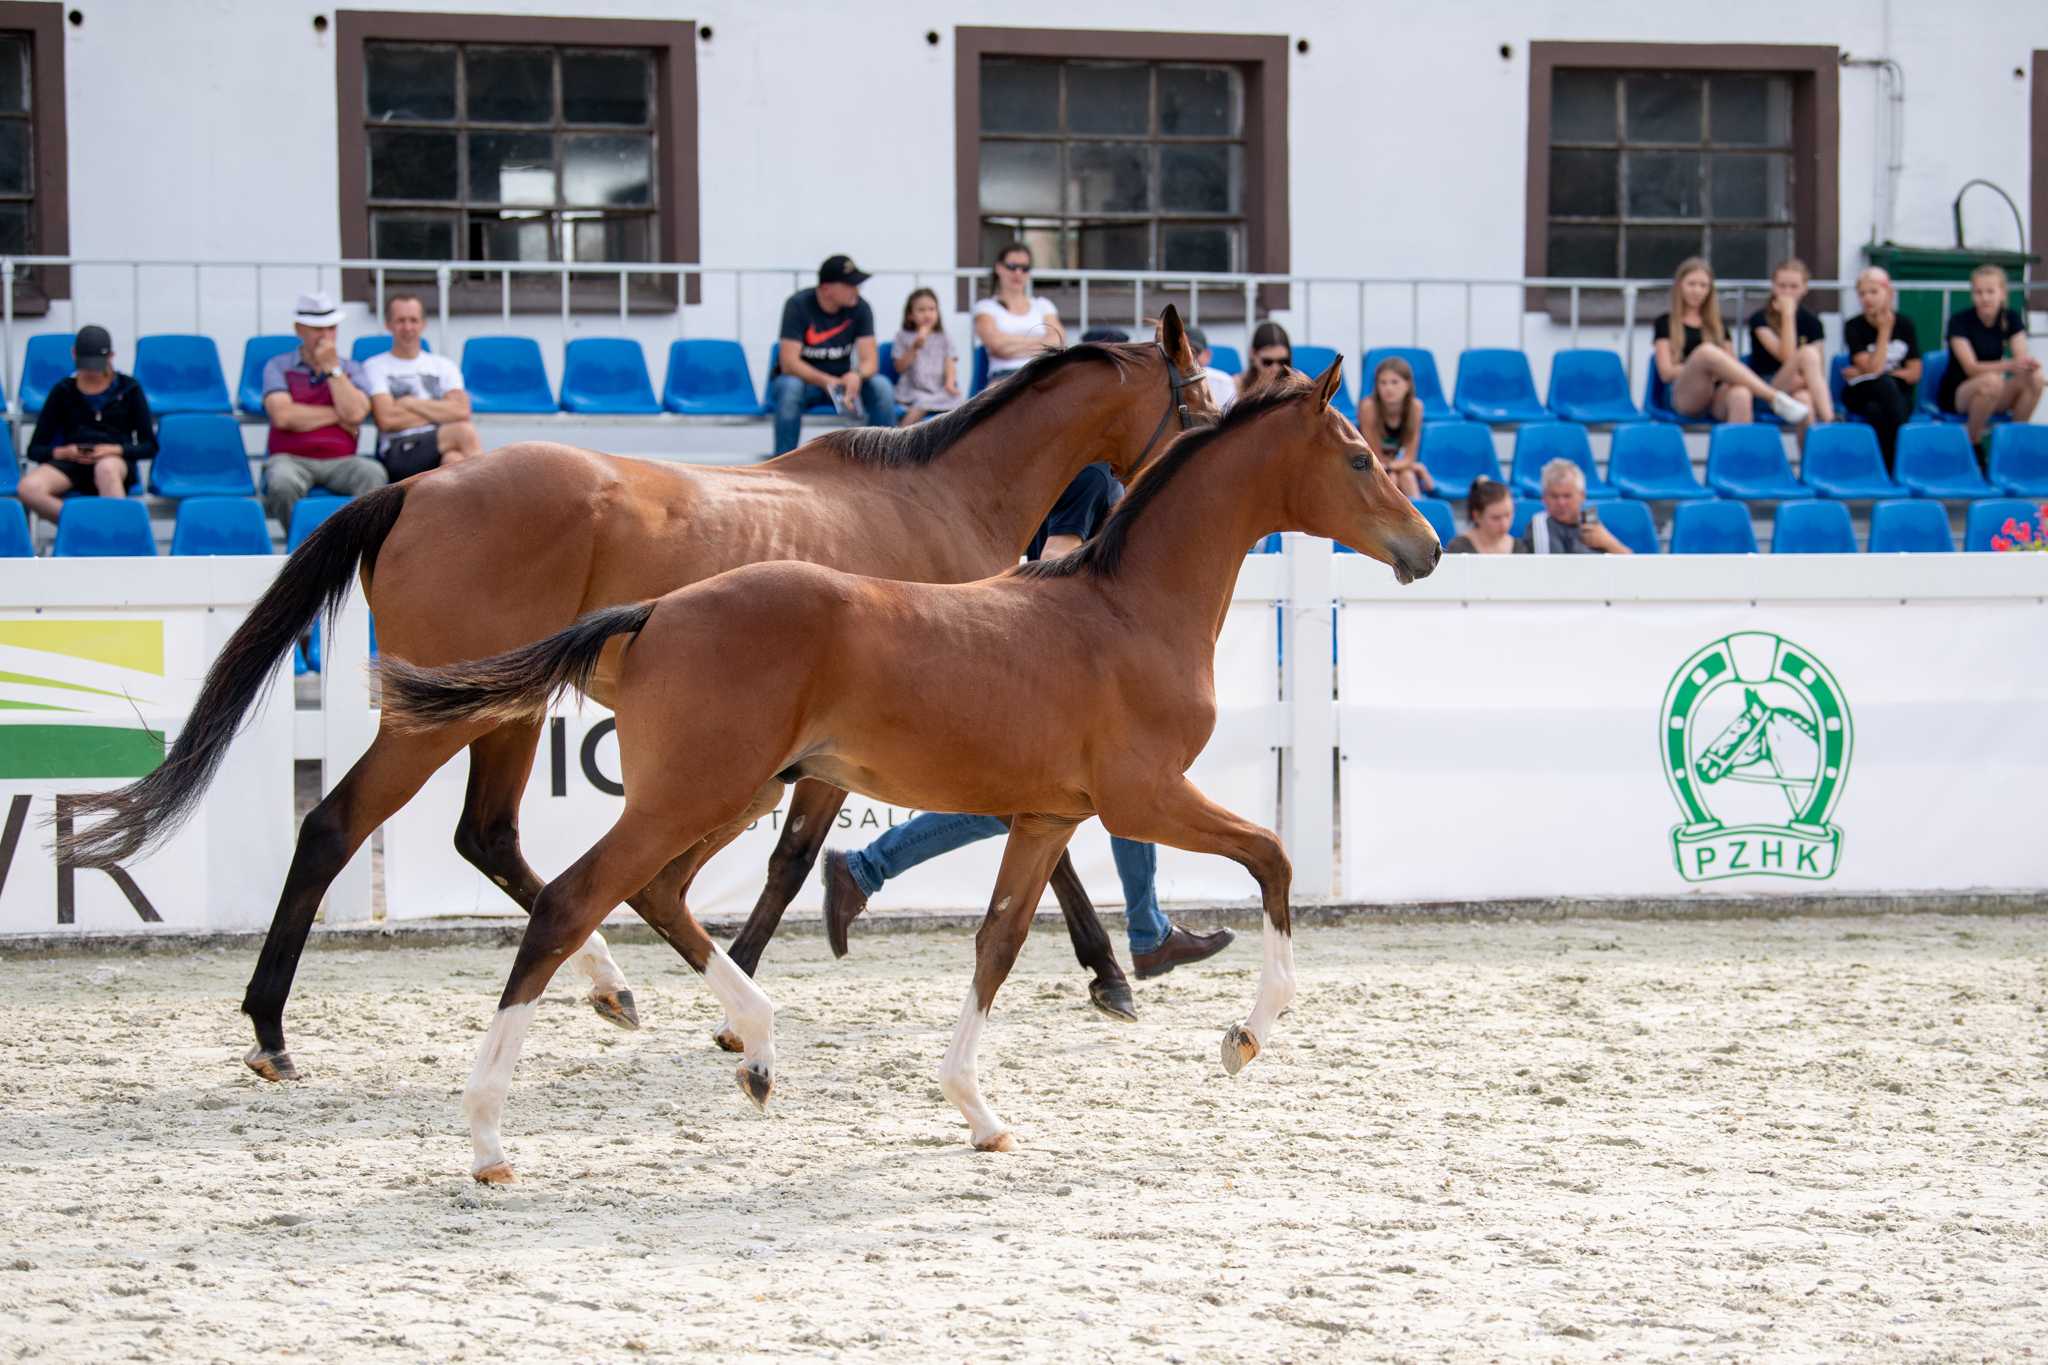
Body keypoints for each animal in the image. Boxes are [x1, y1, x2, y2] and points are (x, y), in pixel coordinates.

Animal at [57, 310, 1217, 1081]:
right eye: (1203, 403)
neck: (935, 493)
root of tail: (415, 484)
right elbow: (810, 862)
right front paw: (1116, 968)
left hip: (504, 713)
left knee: (489, 837)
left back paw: (607, 985)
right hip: (445, 717)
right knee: (340, 825)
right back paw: (270, 1028)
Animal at [373, 360, 1441, 1181]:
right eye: (1359, 456)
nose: (1427, 547)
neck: (1126, 609)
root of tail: (655, 611)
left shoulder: (1049, 818)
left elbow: (997, 944)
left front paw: (979, 1111)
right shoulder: (1145, 798)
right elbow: (1274, 858)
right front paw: (1243, 1036)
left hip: (730, 792)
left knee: (655, 892)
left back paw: (755, 1049)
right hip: (696, 793)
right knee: (571, 900)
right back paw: (490, 1135)